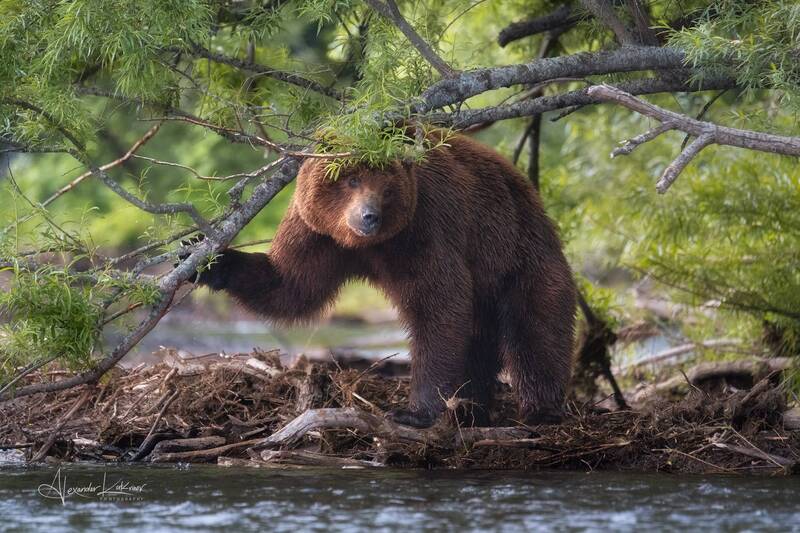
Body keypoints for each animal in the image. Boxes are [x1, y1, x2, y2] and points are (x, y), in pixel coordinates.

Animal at [191, 133, 576, 428]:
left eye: (387, 188)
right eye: (351, 179)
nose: (368, 216)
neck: (366, 245)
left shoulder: (424, 227)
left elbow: (439, 307)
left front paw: (414, 411)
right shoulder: (315, 233)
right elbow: (291, 285)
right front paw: (206, 258)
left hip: (518, 257)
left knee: (536, 331)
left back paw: (539, 410)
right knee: (480, 342)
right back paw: (471, 410)